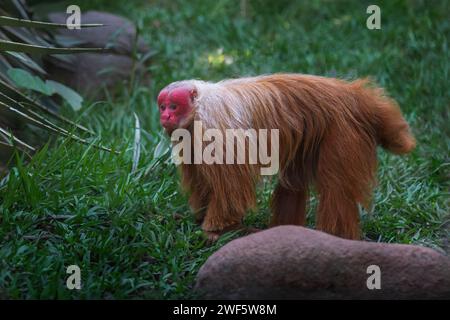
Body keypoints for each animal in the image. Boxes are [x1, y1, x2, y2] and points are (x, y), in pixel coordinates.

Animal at [157, 74, 414, 241]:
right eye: (162, 106)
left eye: (173, 106)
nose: (165, 116)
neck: (197, 108)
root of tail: (352, 94)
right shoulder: (188, 135)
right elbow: (202, 179)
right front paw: (202, 216)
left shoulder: (214, 125)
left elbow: (232, 185)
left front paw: (216, 227)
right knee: (293, 182)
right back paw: (285, 229)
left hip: (342, 130)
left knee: (336, 188)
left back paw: (336, 237)